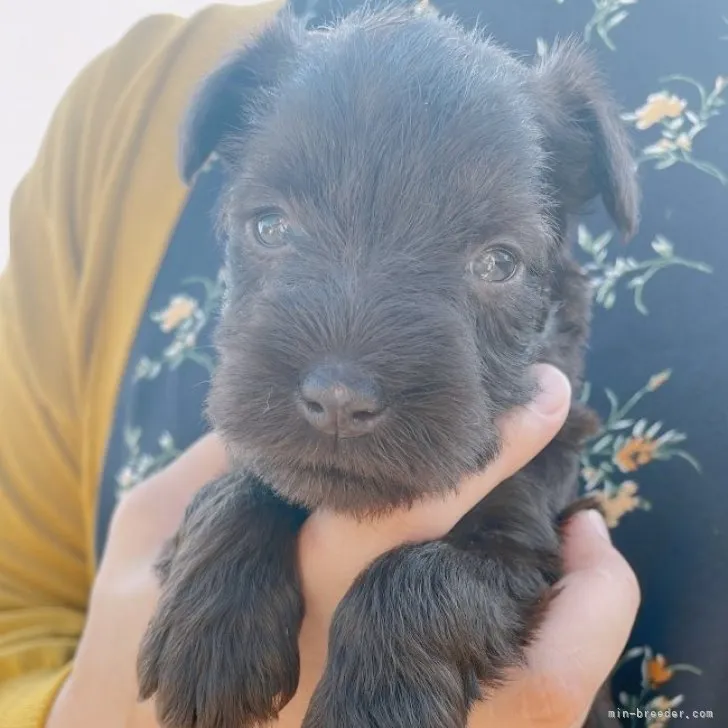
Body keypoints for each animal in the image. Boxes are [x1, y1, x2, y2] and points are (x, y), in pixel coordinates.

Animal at [135, 5, 636, 728]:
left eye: (499, 262)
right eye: (269, 227)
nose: (339, 399)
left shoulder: (528, 538)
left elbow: (425, 574)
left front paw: (375, 703)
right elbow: (243, 481)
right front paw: (211, 629)